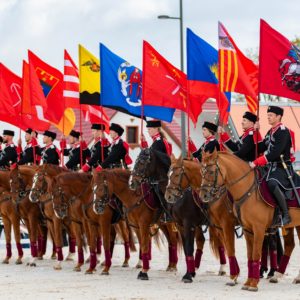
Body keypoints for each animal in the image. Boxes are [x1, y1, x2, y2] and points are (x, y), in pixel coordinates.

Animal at [164, 156, 239, 284]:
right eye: (168, 174)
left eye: (177, 174)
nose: (168, 196)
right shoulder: (181, 225)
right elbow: (186, 249)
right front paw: (190, 272)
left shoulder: (189, 224)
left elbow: (189, 247)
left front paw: (188, 275)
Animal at [199, 151, 300, 292]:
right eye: (201, 171)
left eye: (211, 171)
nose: (203, 195)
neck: (247, 190)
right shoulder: (246, 230)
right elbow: (249, 255)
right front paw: (247, 282)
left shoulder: (257, 229)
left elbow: (255, 253)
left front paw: (252, 284)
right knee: (290, 245)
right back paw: (278, 276)